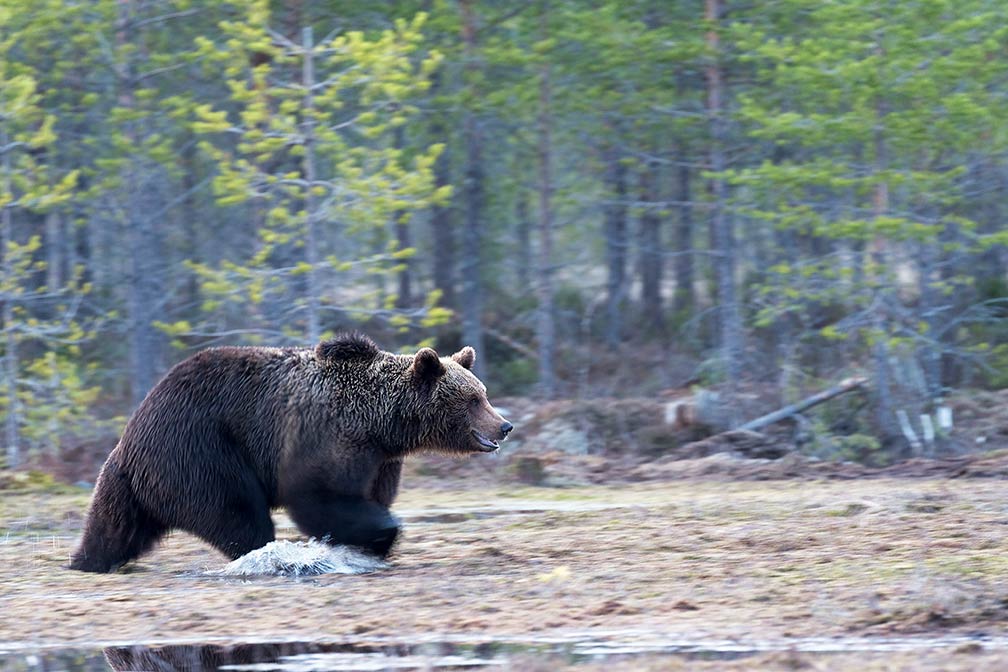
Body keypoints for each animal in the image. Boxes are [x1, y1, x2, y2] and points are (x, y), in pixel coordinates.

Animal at [69, 334, 512, 572]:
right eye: (473, 399)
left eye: (484, 393)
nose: (504, 425)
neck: (382, 425)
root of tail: (131, 433)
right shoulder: (326, 436)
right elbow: (319, 496)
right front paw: (375, 535)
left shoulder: (380, 460)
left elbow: (369, 495)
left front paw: (367, 544)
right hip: (200, 451)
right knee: (236, 512)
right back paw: (263, 553)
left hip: (140, 480)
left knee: (116, 525)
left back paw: (87, 559)